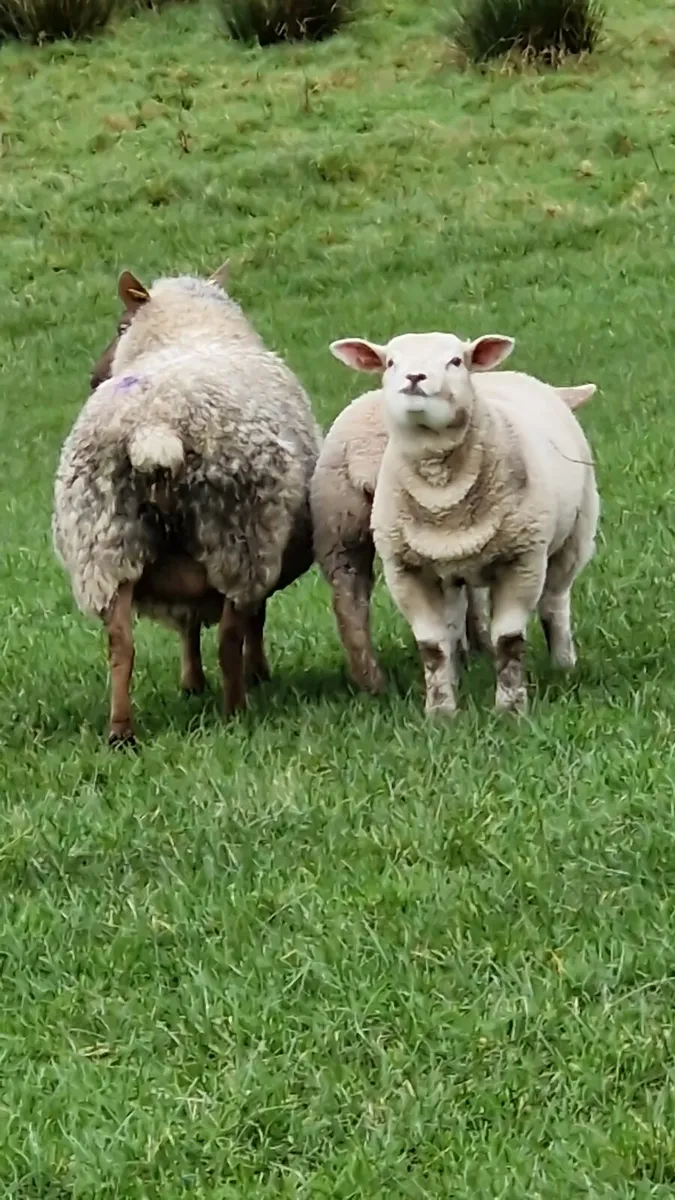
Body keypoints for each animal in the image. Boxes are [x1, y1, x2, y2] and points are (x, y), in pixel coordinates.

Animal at [53, 265, 322, 745]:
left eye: (121, 327)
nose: (93, 375)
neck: (190, 331)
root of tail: (154, 428)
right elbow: (247, 622)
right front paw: (253, 675)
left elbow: (187, 625)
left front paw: (191, 684)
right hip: (238, 536)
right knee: (230, 636)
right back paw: (236, 711)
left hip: (106, 545)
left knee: (120, 644)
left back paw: (121, 731)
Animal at [326, 332, 599, 716]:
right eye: (390, 362)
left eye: (456, 361)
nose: (415, 378)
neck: (442, 499)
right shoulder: (406, 569)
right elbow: (432, 645)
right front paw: (440, 711)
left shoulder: (523, 560)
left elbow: (509, 641)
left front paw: (510, 710)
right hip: (449, 568)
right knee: (454, 621)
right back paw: (457, 670)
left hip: (575, 535)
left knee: (555, 603)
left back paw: (563, 664)